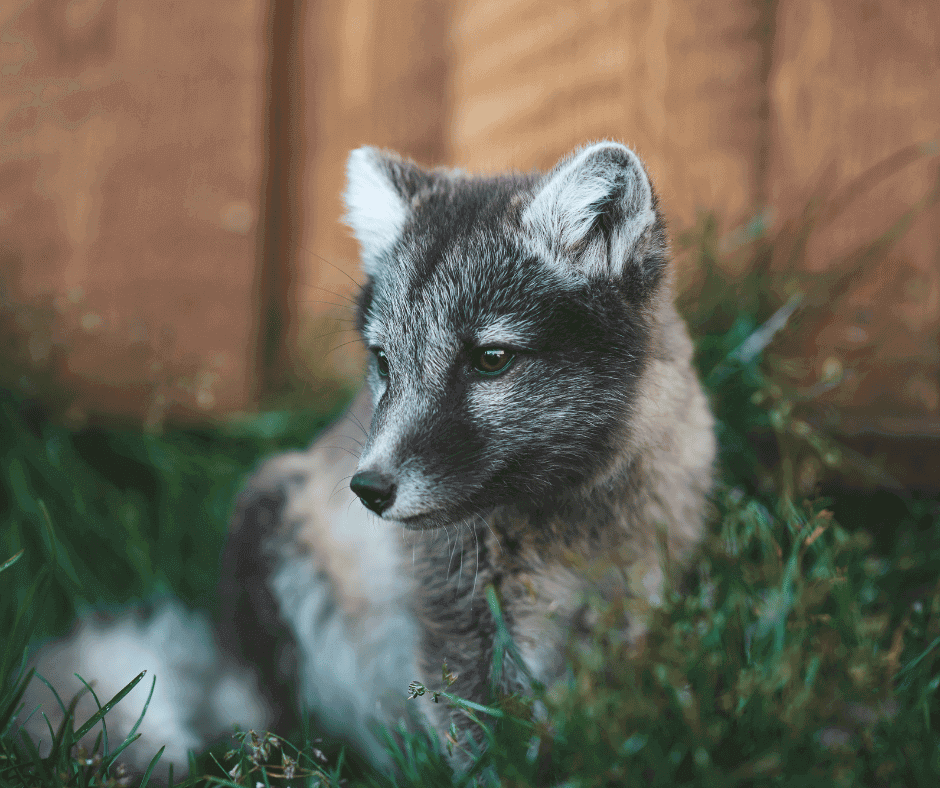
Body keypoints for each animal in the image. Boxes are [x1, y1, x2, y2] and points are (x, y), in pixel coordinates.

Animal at [23, 140, 712, 768]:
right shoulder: (452, 628)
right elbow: (484, 750)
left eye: (492, 360)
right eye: (383, 361)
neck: (569, 522)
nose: (368, 490)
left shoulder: (633, 614)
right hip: (273, 521)